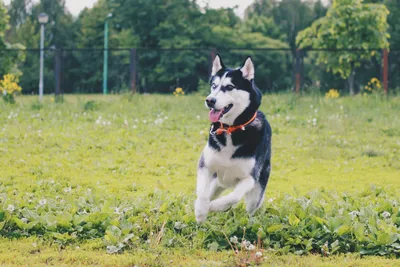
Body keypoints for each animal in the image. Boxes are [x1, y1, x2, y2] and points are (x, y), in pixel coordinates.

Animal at [195, 55, 272, 224]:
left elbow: (234, 197)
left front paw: (215, 207)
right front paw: (200, 212)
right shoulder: (206, 165)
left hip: (255, 195)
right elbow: (202, 194)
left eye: (229, 87)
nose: (209, 100)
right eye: (214, 86)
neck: (231, 129)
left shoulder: (250, 178)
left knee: (250, 209)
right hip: (217, 181)